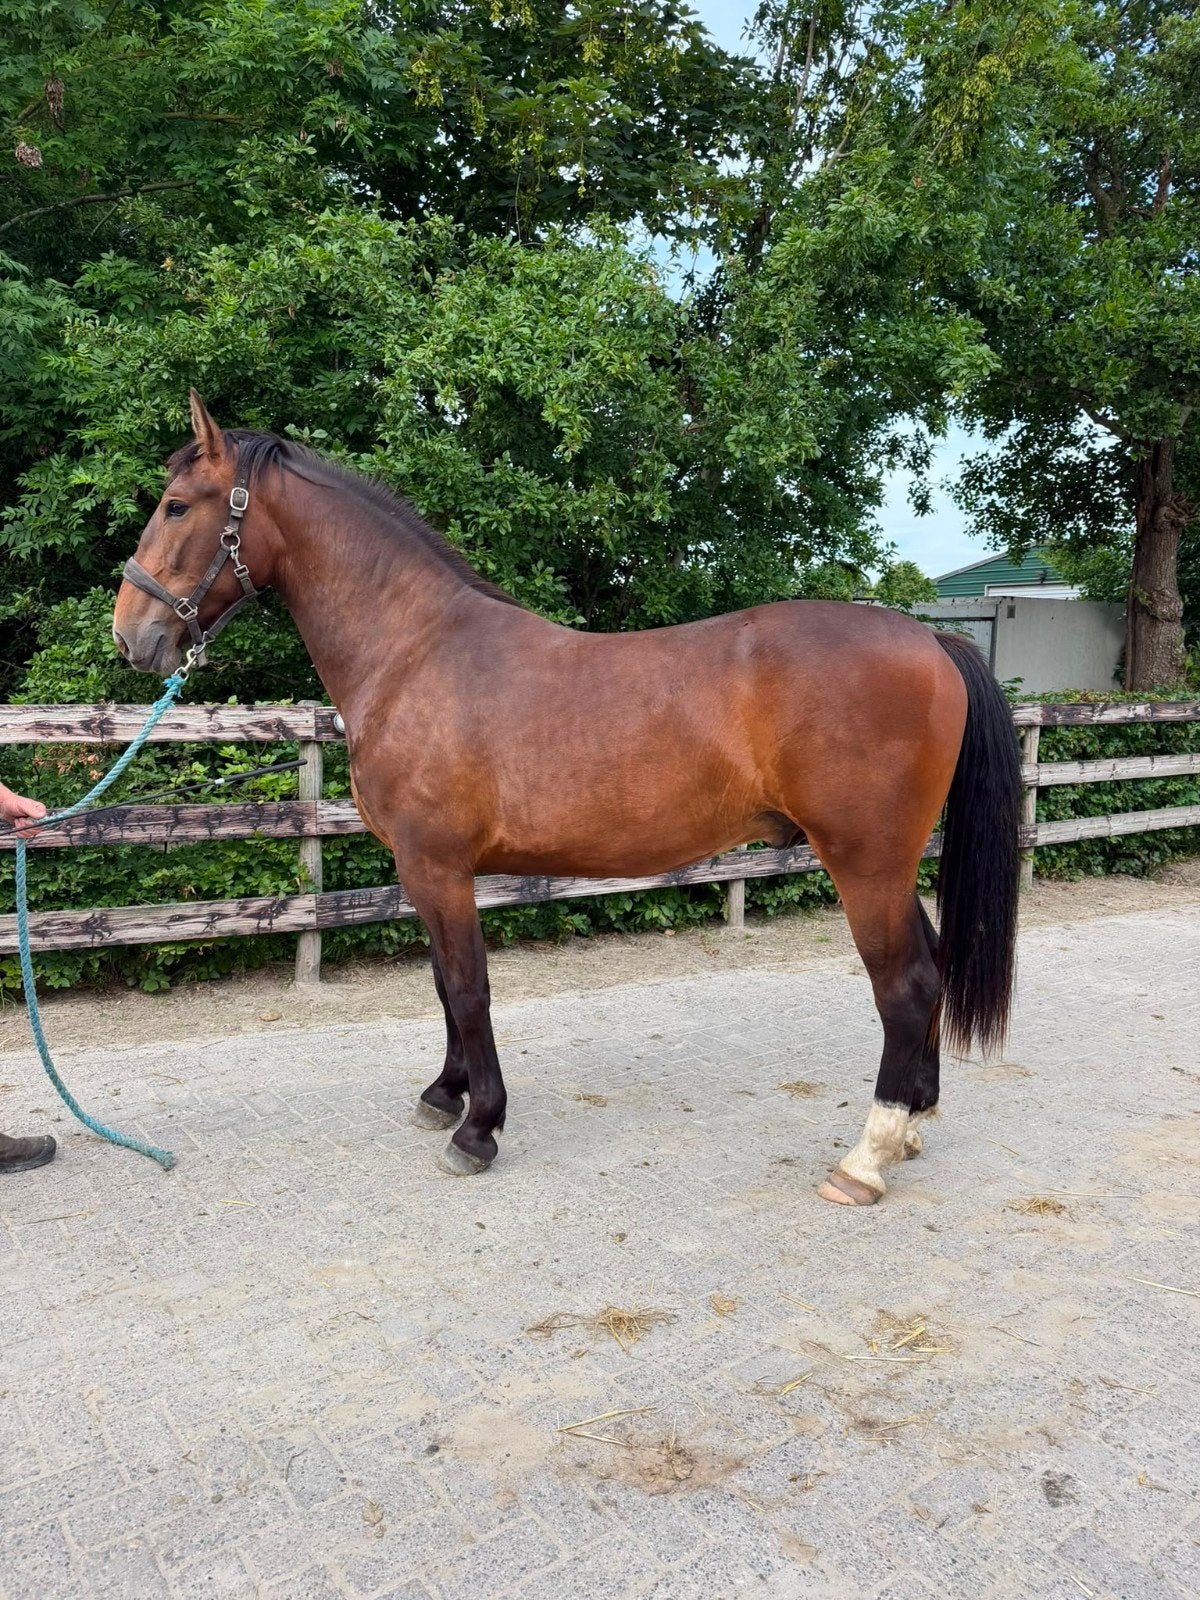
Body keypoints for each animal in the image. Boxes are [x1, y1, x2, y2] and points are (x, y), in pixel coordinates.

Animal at [112, 392, 1022, 1205]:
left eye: (177, 504)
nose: (130, 636)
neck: (415, 651)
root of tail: (927, 637)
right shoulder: (425, 872)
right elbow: (444, 984)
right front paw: (444, 1094)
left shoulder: (438, 866)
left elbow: (469, 987)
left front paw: (478, 1130)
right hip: (891, 864)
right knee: (930, 965)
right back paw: (911, 1125)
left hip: (864, 861)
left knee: (904, 984)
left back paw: (865, 1158)